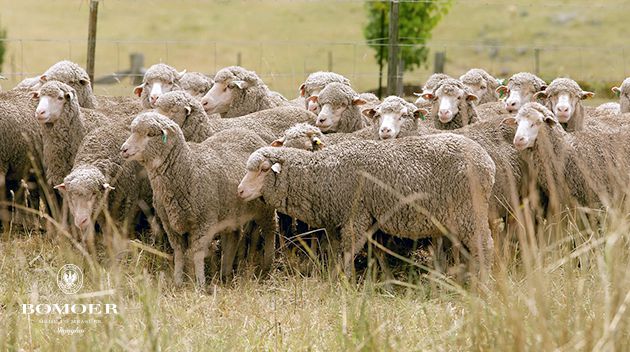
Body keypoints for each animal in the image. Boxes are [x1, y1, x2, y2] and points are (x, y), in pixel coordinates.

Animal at [121, 113, 276, 286]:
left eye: (149, 134)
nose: (123, 149)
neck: (189, 168)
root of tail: (248, 132)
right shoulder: (170, 225)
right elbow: (179, 253)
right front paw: (178, 282)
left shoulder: (204, 221)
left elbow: (197, 253)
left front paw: (200, 283)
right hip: (231, 212)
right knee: (234, 236)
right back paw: (225, 274)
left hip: (266, 207)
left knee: (270, 230)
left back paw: (267, 267)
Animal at [238, 133, 498, 274]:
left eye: (263, 169)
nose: (240, 191)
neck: (322, 172)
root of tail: (487, 161)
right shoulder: (341, 220)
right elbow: (339, 251)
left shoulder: (357, 215)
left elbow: (349, 251)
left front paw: (342, 281)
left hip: (470, 210)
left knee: (484, 245)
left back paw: (483, 283)